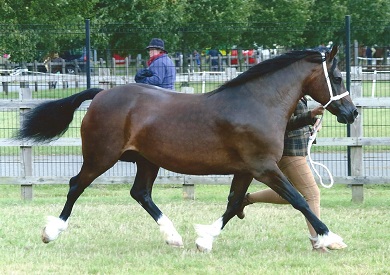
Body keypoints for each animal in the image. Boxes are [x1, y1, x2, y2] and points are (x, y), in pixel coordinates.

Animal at [16, 45, 356, 252]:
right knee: (76, 185)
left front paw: (205, 239)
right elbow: (300, 199)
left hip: (147, 161)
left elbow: (234, 202)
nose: (351, 113)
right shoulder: (264, 168)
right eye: (338, 77)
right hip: (101, 157)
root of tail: (101, 94)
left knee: (140, 193)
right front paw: (332, 237)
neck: (257, 103)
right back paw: (51, 232)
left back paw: (174, 236)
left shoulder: (247, 169)